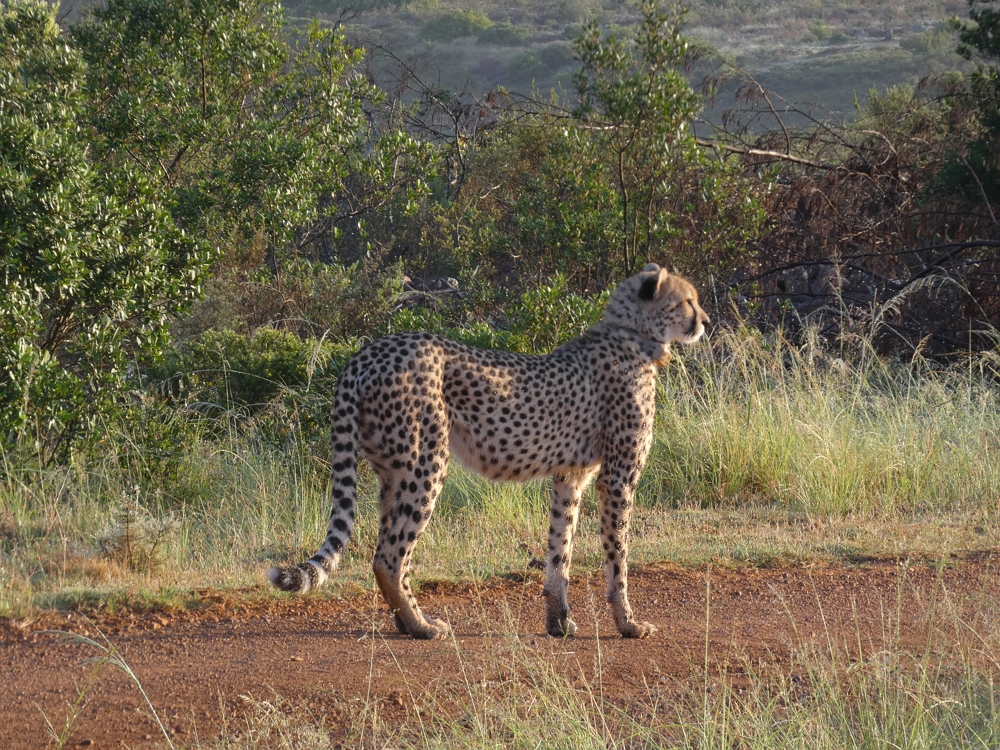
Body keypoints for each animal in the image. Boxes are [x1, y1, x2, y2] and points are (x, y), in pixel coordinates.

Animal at [270, 264, 712, 640]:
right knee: (389, 557)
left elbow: (560, 550)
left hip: (391, 473)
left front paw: (558, 622)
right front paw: (629, 624)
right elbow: (618, 555)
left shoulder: (571, 476)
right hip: (426, 462)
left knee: (388, 550)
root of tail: (367, 351)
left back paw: (409, 621)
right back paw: (422, 627)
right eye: (687, 301)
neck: (633, 334)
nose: (706, 322)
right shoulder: (618, 478)